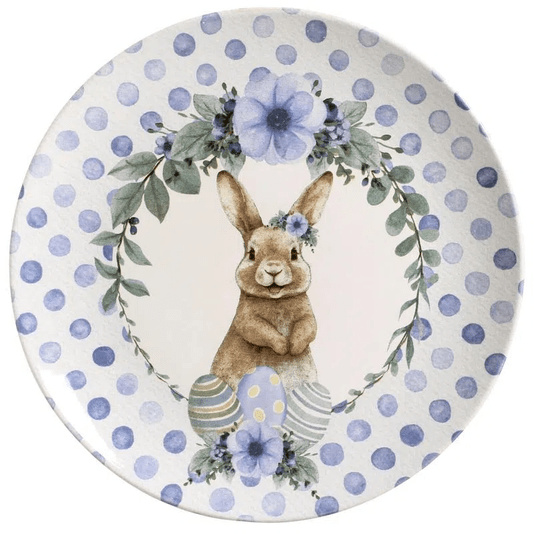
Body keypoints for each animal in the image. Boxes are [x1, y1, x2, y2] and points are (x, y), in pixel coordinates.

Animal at [210, 170, 333, 393]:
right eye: (251, 253)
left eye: (294, 253)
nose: (273, 269)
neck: (276, 300)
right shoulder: (245, 319)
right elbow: (258, 330)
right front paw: (283, 347)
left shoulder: (307, 315)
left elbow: (308, 327)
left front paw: (293, 347)